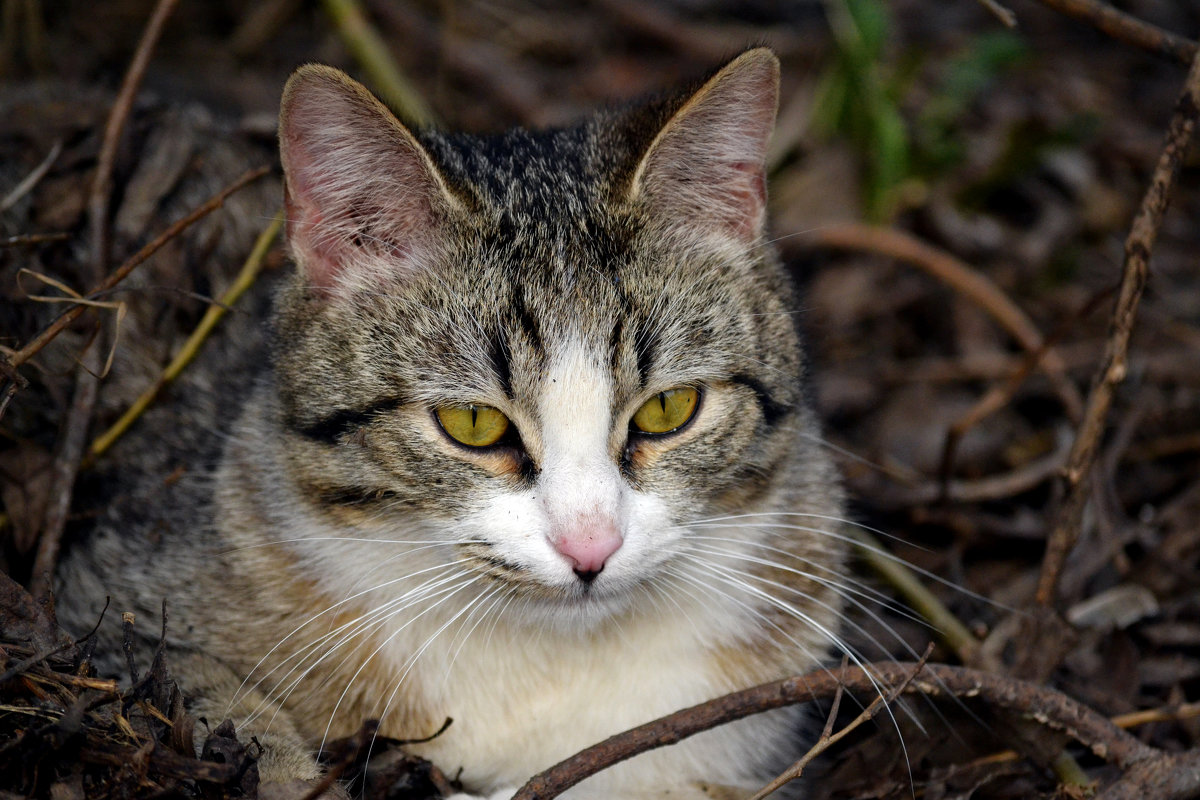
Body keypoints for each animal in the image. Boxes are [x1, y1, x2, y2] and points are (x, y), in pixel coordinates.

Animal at [56, 47, 844, 796]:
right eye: (471, 423)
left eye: (668, 409)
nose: (590, 549)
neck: (545, 666)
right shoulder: (103, 601)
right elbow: (190, 688)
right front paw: (281, 769)